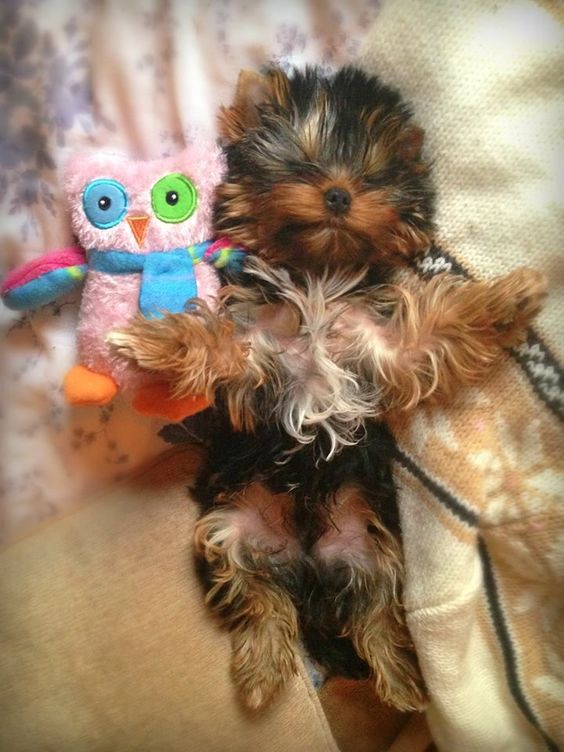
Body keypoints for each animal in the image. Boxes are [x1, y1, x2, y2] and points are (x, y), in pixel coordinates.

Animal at [108, 66, 544, 712]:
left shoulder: (380, 349)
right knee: (256, 595)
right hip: (229, 527)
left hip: (371, 541)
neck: (317, 274)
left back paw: (403, 681)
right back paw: (265, 668)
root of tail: (305, 562)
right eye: (304, 165)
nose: (338, 195)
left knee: (376, 608)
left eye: (371, 177)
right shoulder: (256, 351)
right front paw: (147, 341)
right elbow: (211, 344)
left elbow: (439, 327)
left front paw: (511, 298)